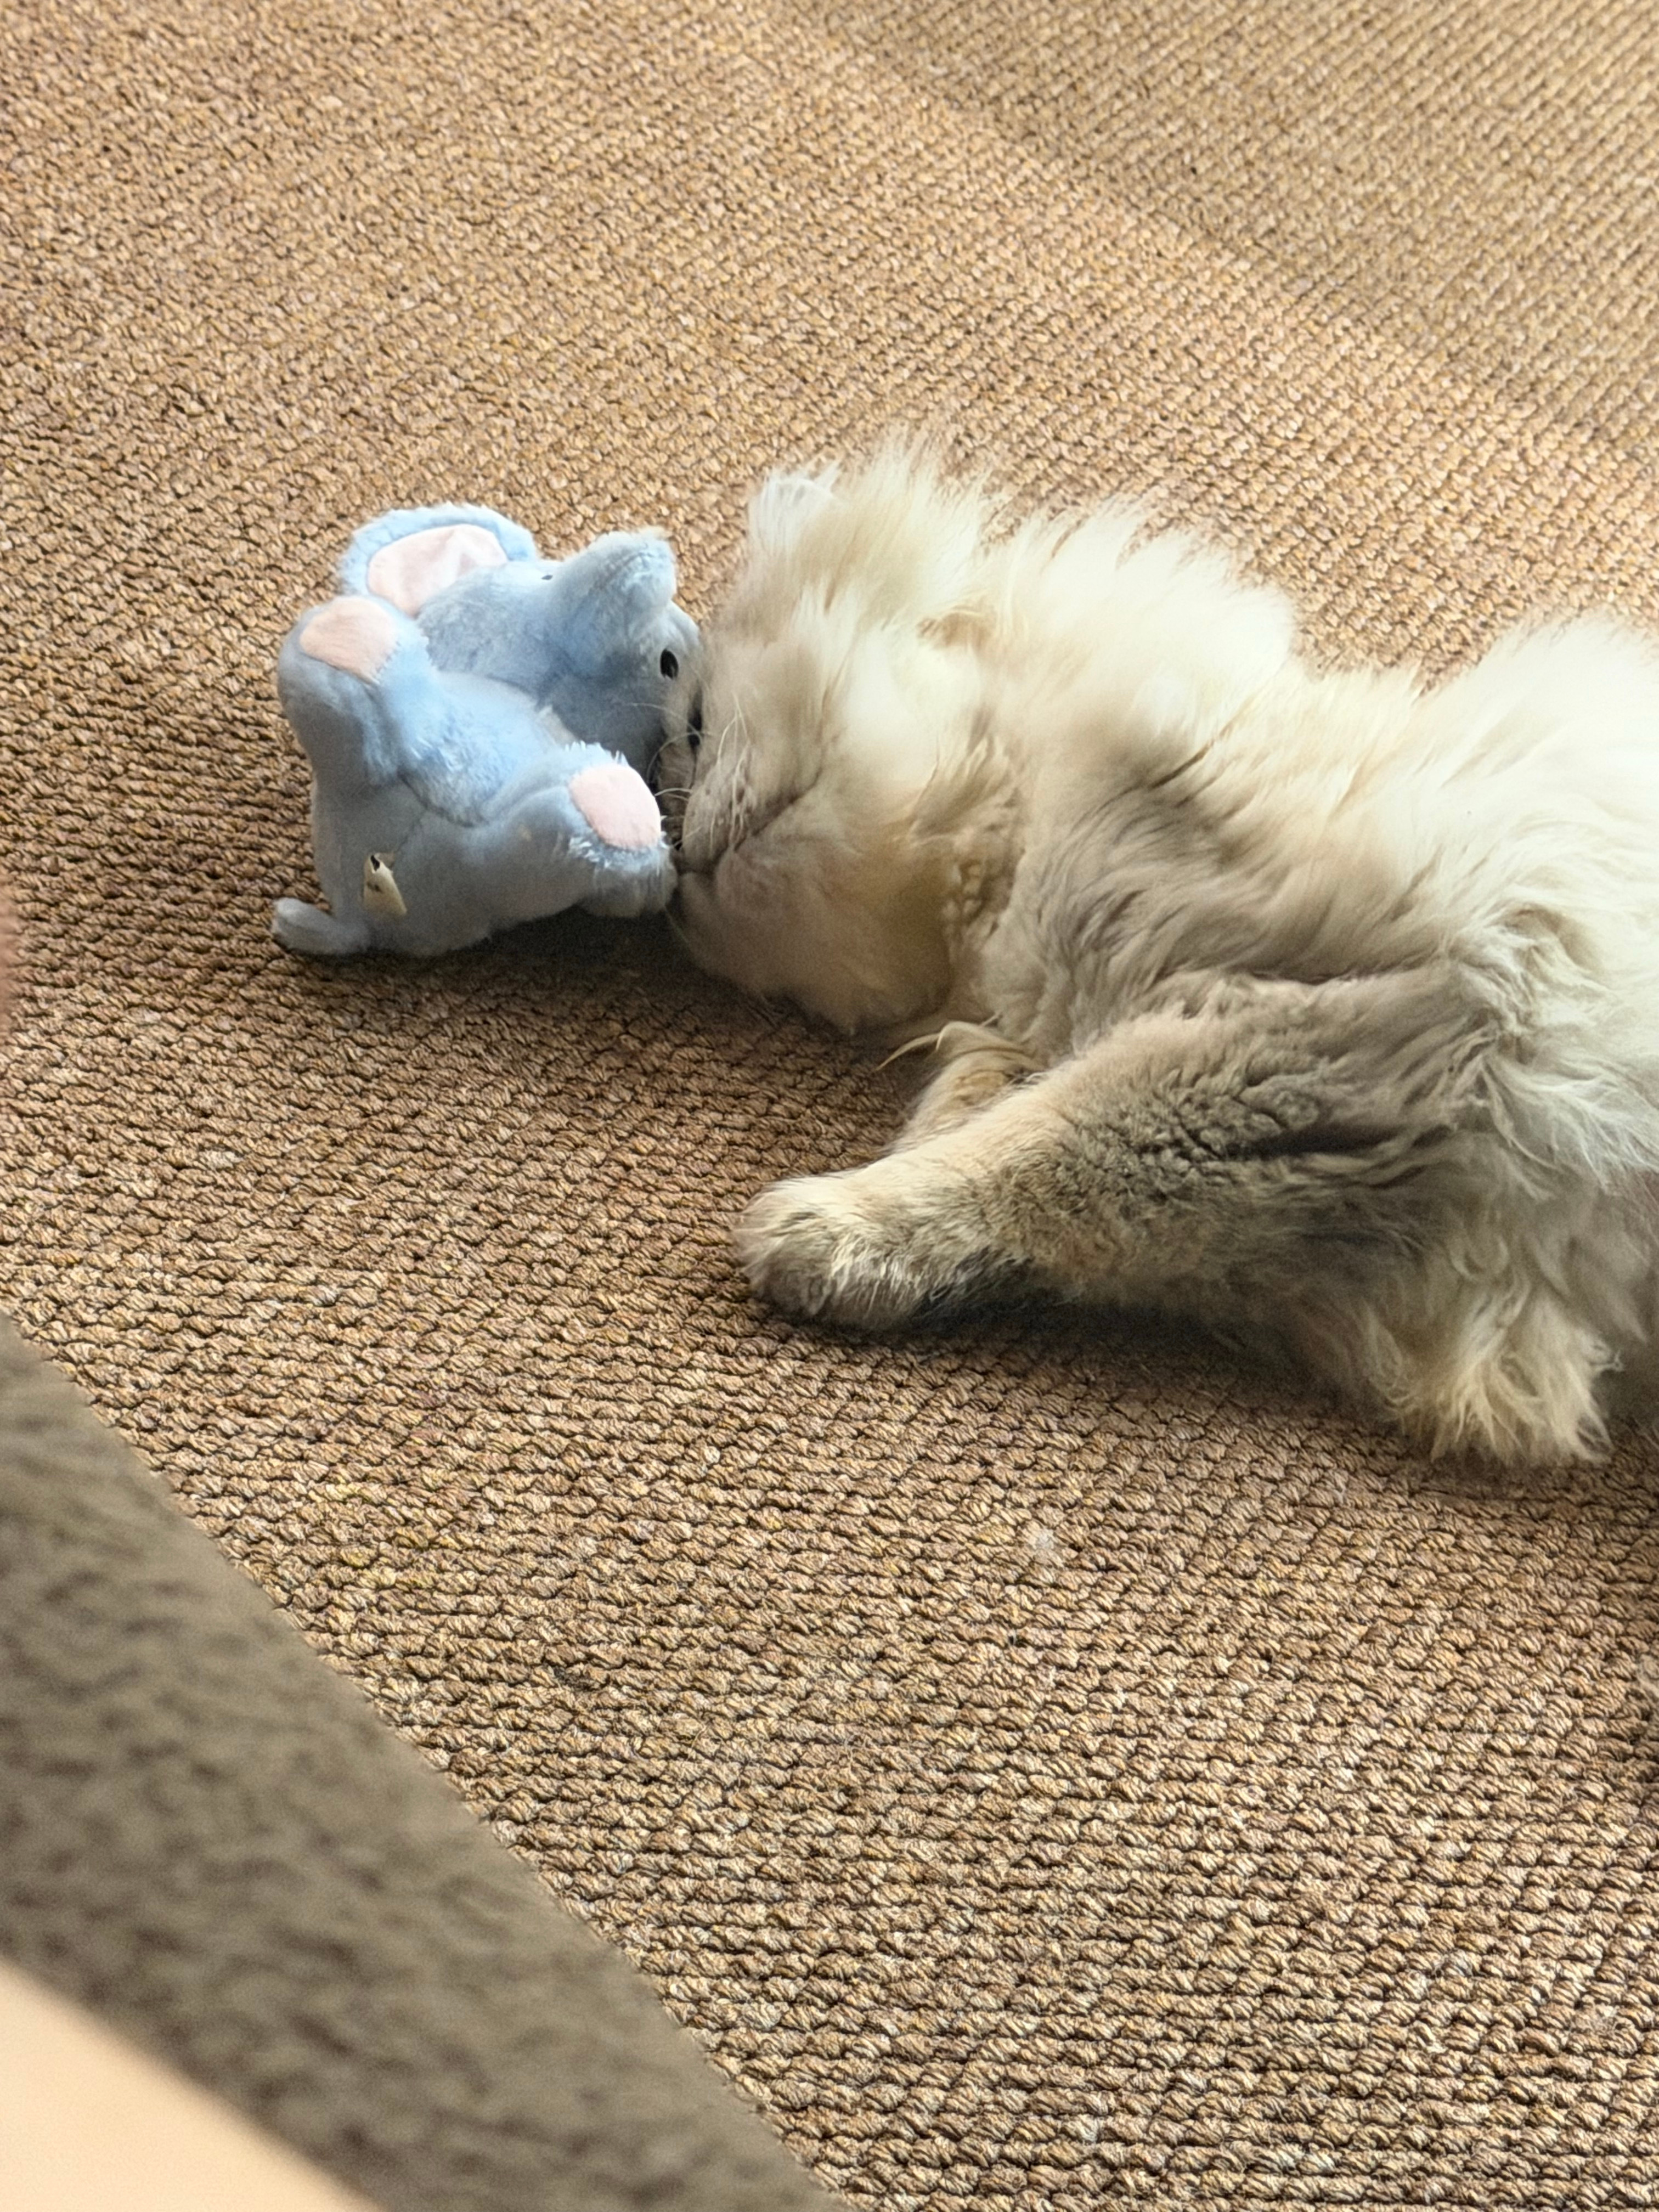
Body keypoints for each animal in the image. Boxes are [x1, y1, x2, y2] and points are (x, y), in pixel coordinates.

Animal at [656, 444, 1659, 1462]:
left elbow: (1039, 1157)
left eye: (692, 728)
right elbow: (1010, 1164)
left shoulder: (1318, 1041)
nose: (674, 863)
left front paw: (821, 1229)